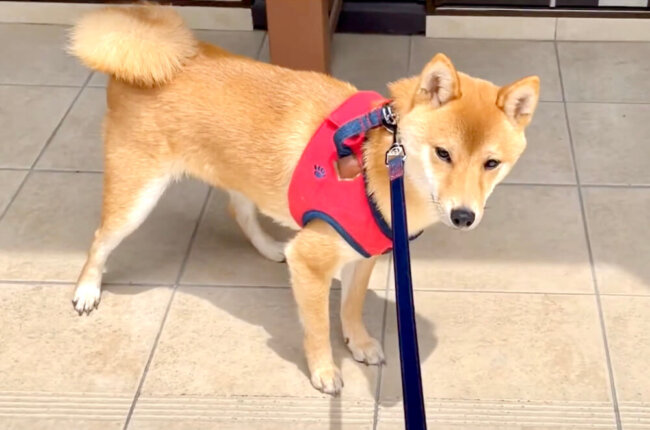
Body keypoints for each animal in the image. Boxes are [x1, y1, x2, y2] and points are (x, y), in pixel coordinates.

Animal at [68, 4, 540, 394]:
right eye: (443, 154)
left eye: (491, 163)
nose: (464, 215)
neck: (379, 163)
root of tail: (153, 58)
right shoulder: (313, 262)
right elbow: (316, 327)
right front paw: (325, 370)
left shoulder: (363, 253)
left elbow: (351, 307)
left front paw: (359, 342)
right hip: (137, 196)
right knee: (100, 238)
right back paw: (88, 289)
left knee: (239, 211)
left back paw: (270, 247)